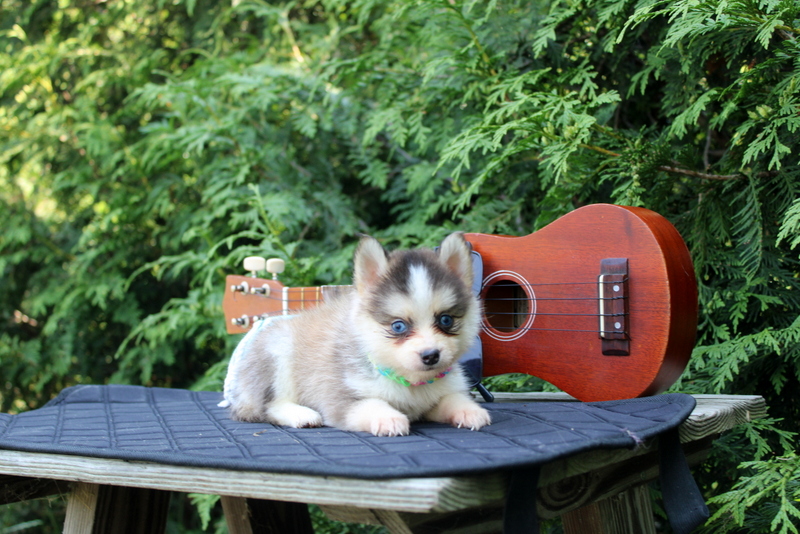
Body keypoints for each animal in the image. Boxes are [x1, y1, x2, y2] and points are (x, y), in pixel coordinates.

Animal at [220, 232, 494, 438]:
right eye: (398, 326)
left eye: (446, 320)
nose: (431, 356)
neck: (409, 383)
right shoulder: (340, 400)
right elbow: (370, 403)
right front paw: (388, 418)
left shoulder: (437, 397)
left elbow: (452, 398)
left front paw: (470, 411)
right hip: (278, 356)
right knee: (269, 406)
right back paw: (302, 414)